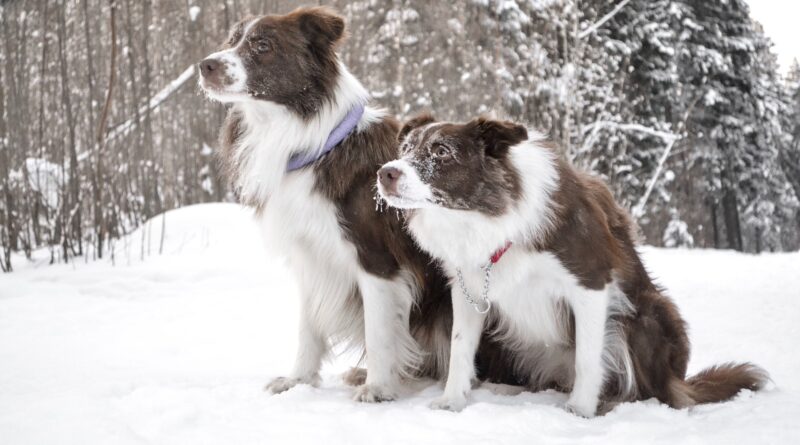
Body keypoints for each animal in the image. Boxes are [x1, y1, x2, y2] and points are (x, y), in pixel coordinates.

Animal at [198, 7, 520, 402]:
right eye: (232, 40)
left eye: (262, 45)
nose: (205, 65)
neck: (314, 142)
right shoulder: (310, 256)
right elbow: (309, 327)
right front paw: (299, 380)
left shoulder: (377, 259)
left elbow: (379, 330)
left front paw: (378, 388)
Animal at [378, 115, 772, 416]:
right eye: (405, 149)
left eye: (441, 151)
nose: (386, 173)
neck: (488, 217)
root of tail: (677, 381)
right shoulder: (469, 291)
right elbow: (460, 349)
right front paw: (452, 401)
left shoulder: (591, 283)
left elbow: (588, 355)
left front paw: (580, 410)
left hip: (650, 314)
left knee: (650, 389)